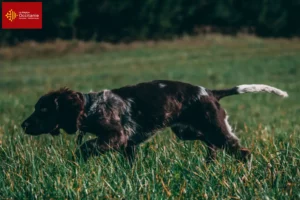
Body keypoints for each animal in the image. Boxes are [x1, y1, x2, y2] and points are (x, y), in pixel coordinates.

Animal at [21, 79, 288, 164]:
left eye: (43, 110)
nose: (23, 125)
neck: (90, 107)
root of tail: (210, 92)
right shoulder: (128, 145)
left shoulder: (116, 136)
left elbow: (87, 146)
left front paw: (78, 161)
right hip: (189, 131)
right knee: (213, 146)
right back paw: (207, 165)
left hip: (214, 129)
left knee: (243, 152)